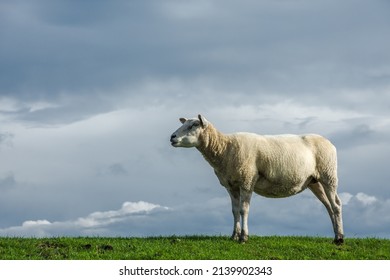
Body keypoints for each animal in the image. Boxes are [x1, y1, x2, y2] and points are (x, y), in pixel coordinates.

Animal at [171, 114, 344, 245]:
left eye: (194, 125)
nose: (172, 137)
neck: (224, 149)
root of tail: (329, 142)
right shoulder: (231, 185)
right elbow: (234, 211)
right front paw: (234, 236)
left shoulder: (247, 180)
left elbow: (243, 210)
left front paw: (243, 237)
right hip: (314, 181)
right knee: (328, 206)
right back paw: (336, 235)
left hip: (328, 175)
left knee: (336, 205)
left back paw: (340, 239)